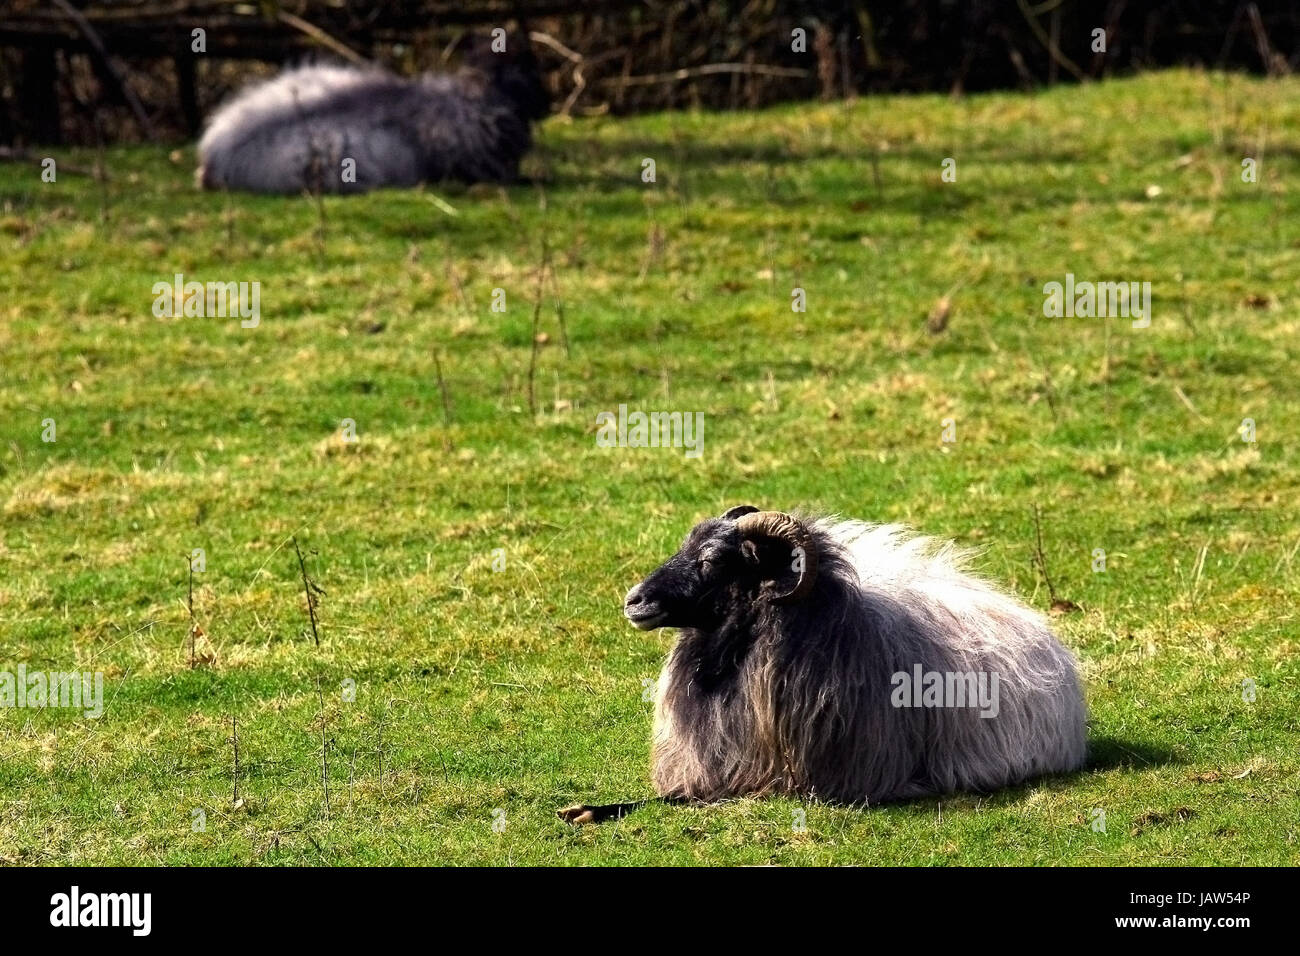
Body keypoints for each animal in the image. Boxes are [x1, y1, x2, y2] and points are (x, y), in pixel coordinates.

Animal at [559, 504, 1086, 827]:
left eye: (711, 561)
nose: (634, 600)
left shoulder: (783, 782)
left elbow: (684, 797)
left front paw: (589, 812)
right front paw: (584, 808)